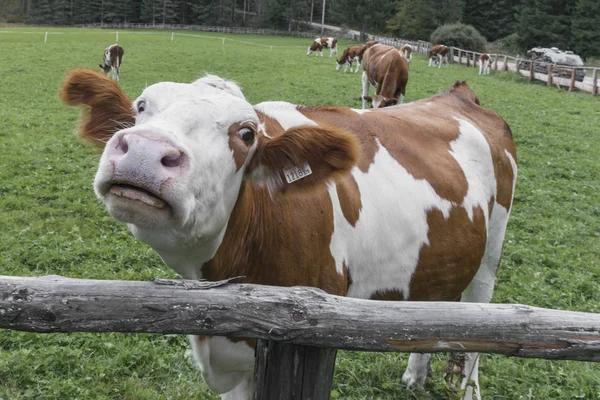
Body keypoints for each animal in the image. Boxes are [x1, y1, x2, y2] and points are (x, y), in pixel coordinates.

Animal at [61, 69, 516, 400]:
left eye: (246, 133)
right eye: (141, 106)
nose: (145, 150)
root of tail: (457, 95)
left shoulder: (312, 331)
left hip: (490, 256)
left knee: (478, 335)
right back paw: (414, 377)